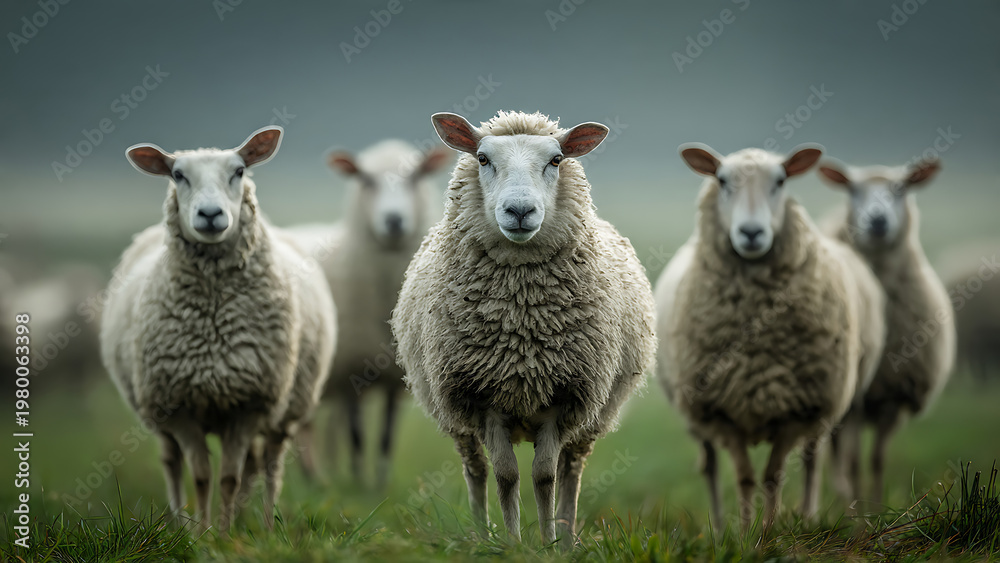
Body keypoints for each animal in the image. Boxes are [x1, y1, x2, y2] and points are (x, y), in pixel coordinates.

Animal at [100, 126, 336, 532]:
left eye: (239, 171)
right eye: (177, 175)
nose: (210, 214)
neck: (213, 321)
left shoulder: (249, 402)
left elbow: (230, 477)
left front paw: (224, 534)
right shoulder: (178, 405)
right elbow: (201, 477)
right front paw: (202, 534)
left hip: (285, 408)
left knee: (268, 465)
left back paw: (265, 526)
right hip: (157, 411)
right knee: (172, 463)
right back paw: (180, 524)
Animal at [288, 139, 451, 487]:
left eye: (416, 177)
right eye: (365, 180)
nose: (394, 220)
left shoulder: (394, 375)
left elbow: (386, 436)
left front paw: (380, 483)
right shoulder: (349, 369)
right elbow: (357, 434)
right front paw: (359, 484)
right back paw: (312, 478)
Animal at [391, 111, 656, 544]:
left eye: (556, 159)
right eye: (482, 158)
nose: (519, 211)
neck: (521, 322)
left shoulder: (565, 397)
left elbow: (545, 476)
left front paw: (548, 543)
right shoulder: (483, 398)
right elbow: (506, 475)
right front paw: (514, 544)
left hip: (593, 414)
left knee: (571, 470)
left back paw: (567, 538)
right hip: (452, 409)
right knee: (475, 470)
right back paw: (482, 536)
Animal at [655, 143, 886, 532]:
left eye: (781, 181)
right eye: (722, 181)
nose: (751, 233)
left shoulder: (796, 410)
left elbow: (773, 477)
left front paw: (768, 531)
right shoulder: (720, 411)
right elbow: (745, 477)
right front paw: (745, 533)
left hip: (822, 405)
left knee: (811, 460)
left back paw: (808, 517)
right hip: (697, 415)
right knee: (710, 465)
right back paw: (719, 527)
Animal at [817, 157, 956, 505]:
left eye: (902, 188)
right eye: (852, 189)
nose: (878, 221)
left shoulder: (894, 395)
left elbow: (877, 460)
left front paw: (878, 507)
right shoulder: (855, 401)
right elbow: (853, 461)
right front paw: (857, 511)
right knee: (837, 455)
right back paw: (842, 498)